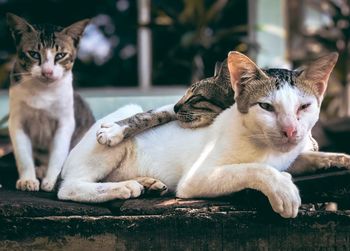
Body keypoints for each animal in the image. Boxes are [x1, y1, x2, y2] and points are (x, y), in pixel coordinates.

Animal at [7, 12, 94, 191]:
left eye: (60, 55)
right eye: (34, 54)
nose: (47, 72)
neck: (42, 91)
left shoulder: (65, 121)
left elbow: (59, 153)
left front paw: (52, 179)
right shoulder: (17, 121)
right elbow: (23, 154)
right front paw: (27, 179)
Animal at [58, 50, 350, 218]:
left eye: (304, 107)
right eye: (266, 107)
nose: (290, 130)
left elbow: (303, 158)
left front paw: (335, 157)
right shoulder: (196, 178)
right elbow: (256, 169)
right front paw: (284, 189)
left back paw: (146, 183)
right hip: (120, 124)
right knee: (69, 187)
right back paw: (124, 186)